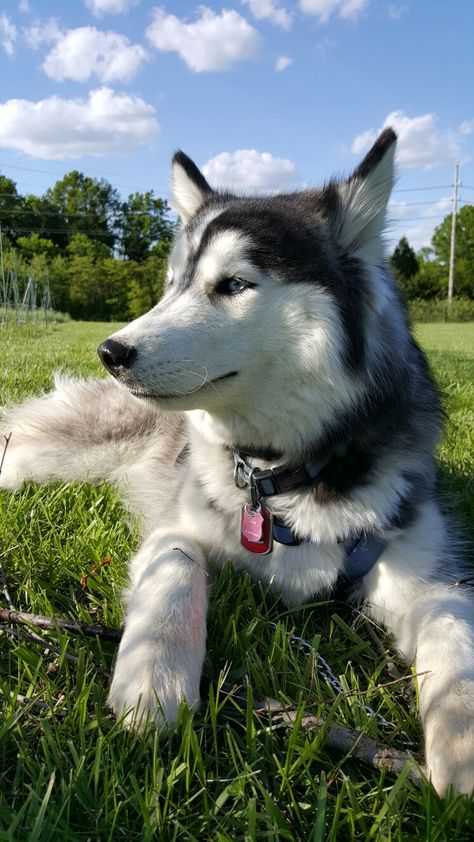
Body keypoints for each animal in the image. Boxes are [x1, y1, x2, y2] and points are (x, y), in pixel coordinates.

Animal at [0, 130, 474, 796]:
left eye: (233, 285)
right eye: (172, 283)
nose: (110, 352)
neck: (283, 478)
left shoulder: (430, 574)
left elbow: (454, 633)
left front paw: (462, 739)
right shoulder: (178, 527)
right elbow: (175, 570)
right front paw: (153, 682)